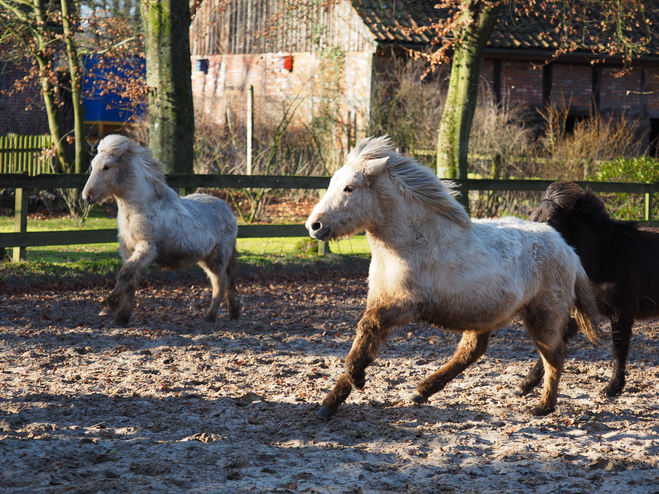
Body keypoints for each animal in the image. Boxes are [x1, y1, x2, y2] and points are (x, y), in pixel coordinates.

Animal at [80, 135, 240, 328]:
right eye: (93, 164)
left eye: (106, 166)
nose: (87, 196)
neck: (140, 209)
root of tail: (228, 210)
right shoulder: (129, 251)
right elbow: (130, 282)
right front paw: (121, 318)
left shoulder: (147, 248)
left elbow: (125, 274)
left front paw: (108, 305)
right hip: (207, 259)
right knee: (227, 284)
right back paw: (233, 312)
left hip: (217, 259)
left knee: (220, 284)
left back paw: (209, 316)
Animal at [306, 136, 604, 420]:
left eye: (349, 188)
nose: (314, 225)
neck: (412, 242)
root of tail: (568, 250)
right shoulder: (380, 300)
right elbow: (365, 339)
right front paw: (330, 403)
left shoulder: (409, 305)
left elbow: (368, 327)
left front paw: (356, 379)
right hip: (485, 314)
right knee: (473, 351)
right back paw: (421, 391)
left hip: (543, 316)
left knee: (554, 357)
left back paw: (543, 407)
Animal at [520, 181, 659, 398]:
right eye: (532, 219)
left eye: (552, 221)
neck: (605, 254)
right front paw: (525, 384)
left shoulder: (623, 311)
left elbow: (619, 347)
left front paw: (613, 388)